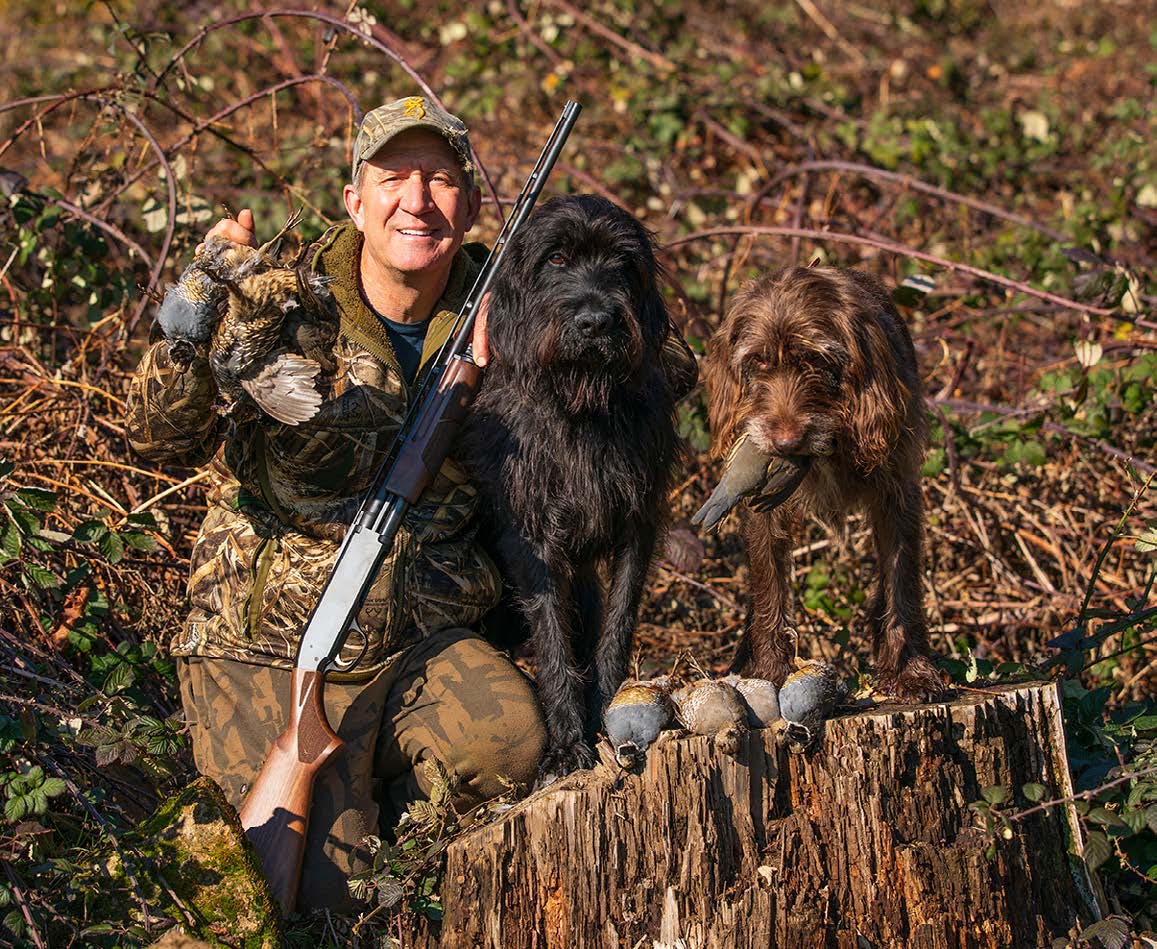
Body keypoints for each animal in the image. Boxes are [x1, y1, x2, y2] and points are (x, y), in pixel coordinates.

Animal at [455, 194, 680, 786]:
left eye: (623, 262)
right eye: (555, 258)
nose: (596, 320)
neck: (579, 406)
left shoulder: (639, 523)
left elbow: (617, 624)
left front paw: (607, 712)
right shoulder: (530, 540)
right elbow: (552, 637)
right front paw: (565, 745)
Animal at [703, 265, 939, 699]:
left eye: (814, 359)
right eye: (758, 361)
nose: (785, 443)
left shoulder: (898, 492)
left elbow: (902, 581)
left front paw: (910, 669)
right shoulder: (764, 504)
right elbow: (769, 582)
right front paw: (770, 669)